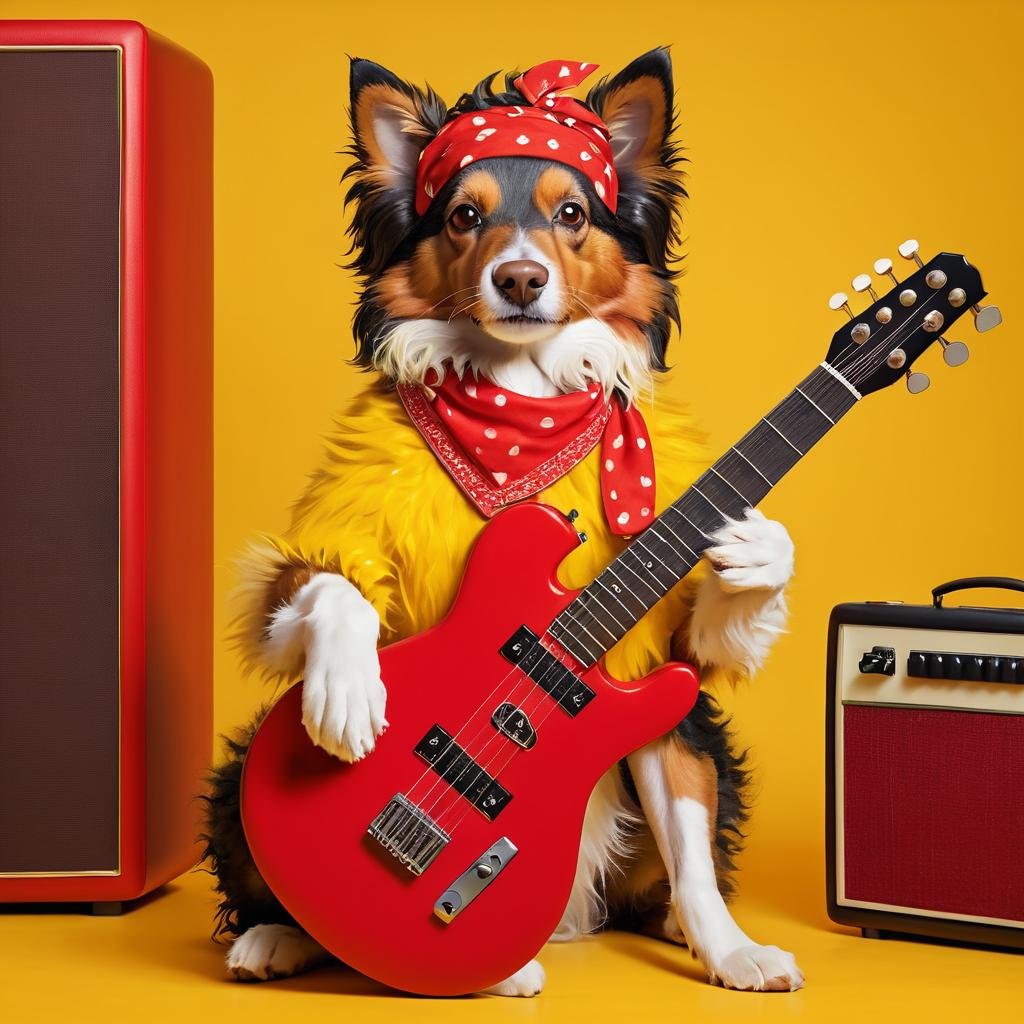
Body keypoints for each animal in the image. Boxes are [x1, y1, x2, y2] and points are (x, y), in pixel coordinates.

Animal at [203, 46, 802, 991]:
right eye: (461, 216)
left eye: (572, 213)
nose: (519, 278)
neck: (518, 409)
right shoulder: (324, 546)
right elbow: (328, 584)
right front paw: (348, 689)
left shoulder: (665, 667)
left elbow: (694, 788)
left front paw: (734, 950)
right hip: (242, 765)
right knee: (280, 897)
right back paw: (287, 940)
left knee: (684, 856)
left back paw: (678, 935)